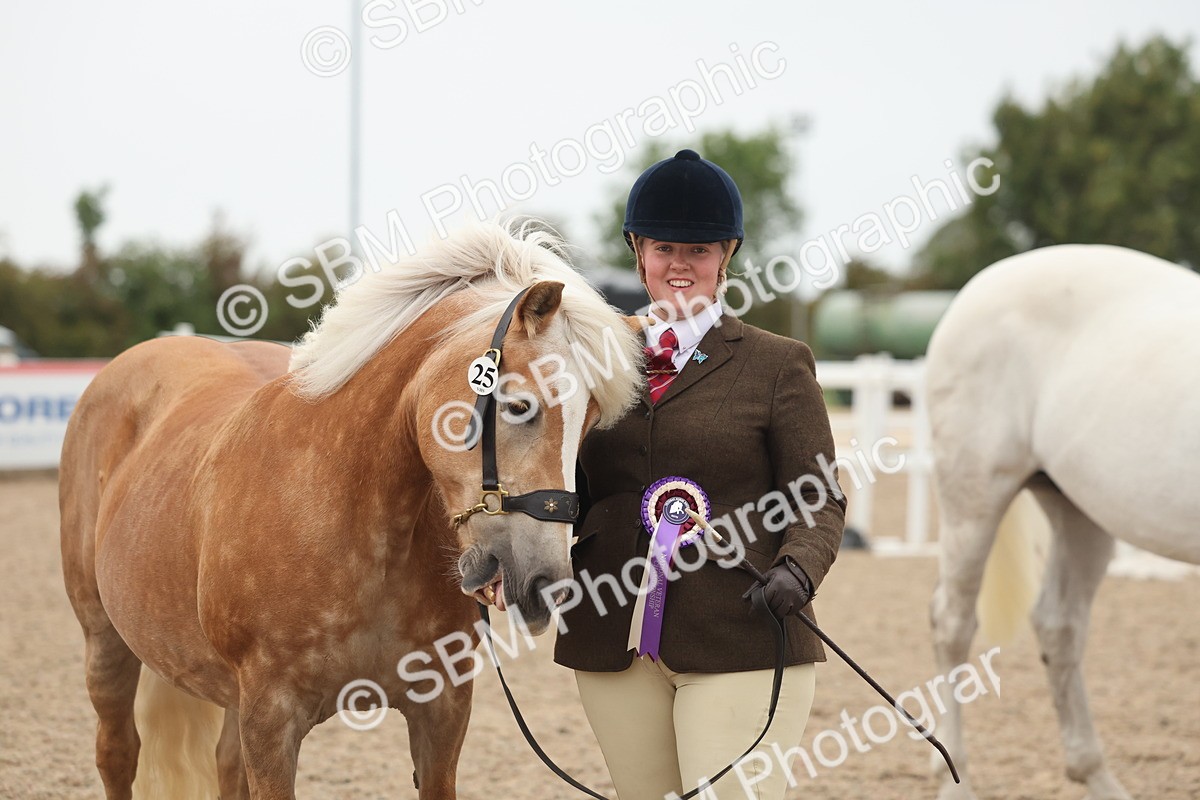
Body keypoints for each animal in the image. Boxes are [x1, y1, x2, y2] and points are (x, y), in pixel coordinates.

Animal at [59, 220, 643, 799]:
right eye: (521, 405)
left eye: (591, 423)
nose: (546, 583)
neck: (355, 522)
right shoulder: (270, 720)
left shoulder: (442, 711)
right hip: (104, 642)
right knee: (117, 753)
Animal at [925, 244, 1200, 800]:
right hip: (974, 497)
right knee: (953, 624)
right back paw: (956, 781)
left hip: (1078, 512)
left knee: (1059, 626)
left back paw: (1095, 774)